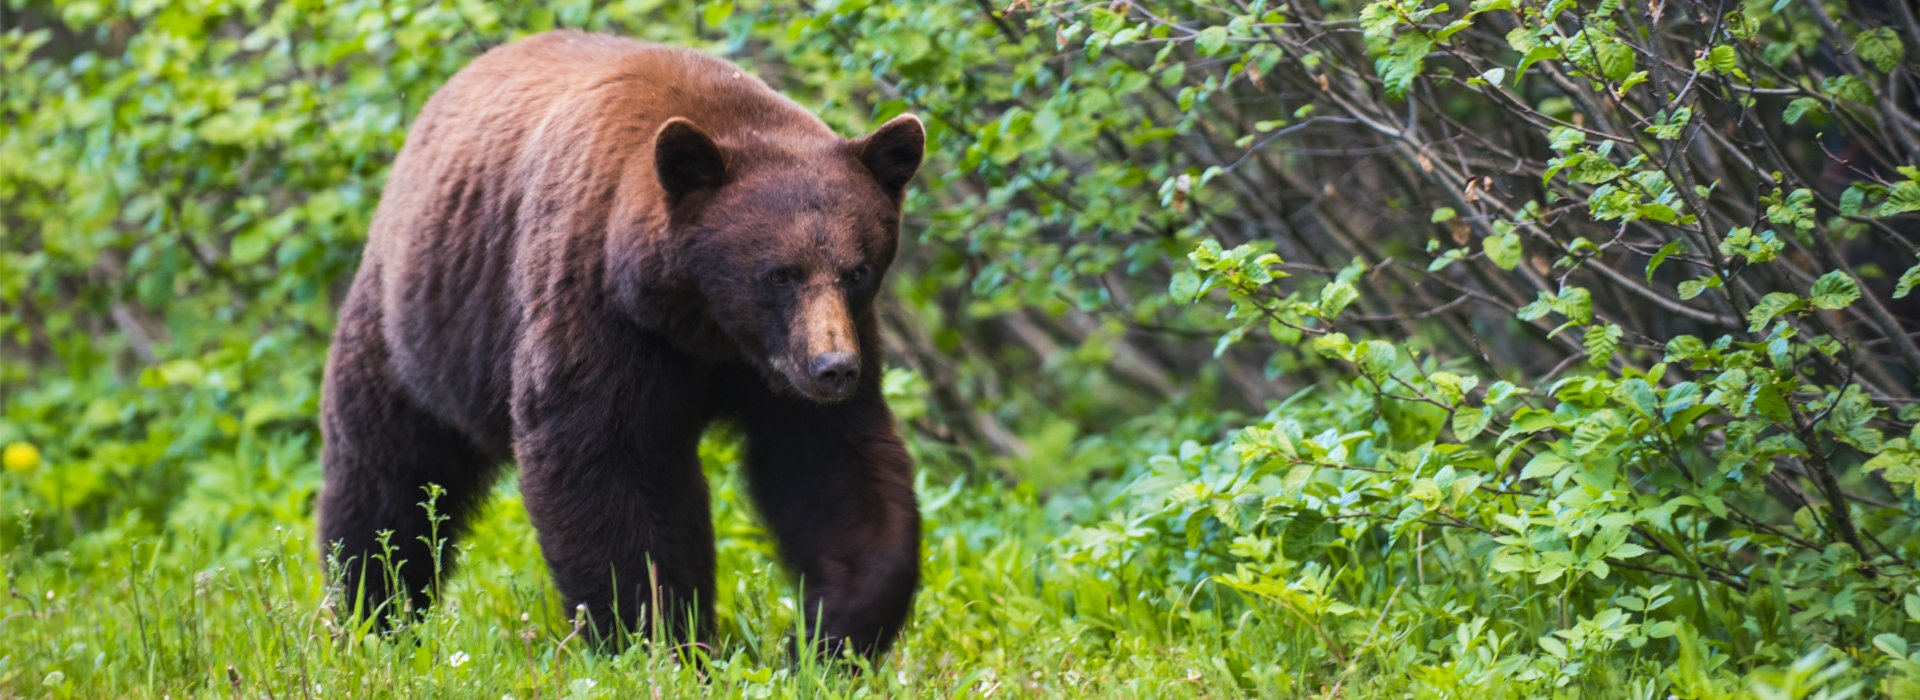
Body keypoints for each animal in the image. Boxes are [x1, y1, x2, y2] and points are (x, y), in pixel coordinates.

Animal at [316, 31, 929, 655]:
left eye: (856, 271)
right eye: (778, 274)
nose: (834, 368)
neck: (704, 327)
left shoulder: (797, 365)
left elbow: (832, 465)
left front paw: (830, 635)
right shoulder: (599, 308)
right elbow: (605, 462)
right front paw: (659, 634)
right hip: (420, 326)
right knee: (388, 473)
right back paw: (377, 607)